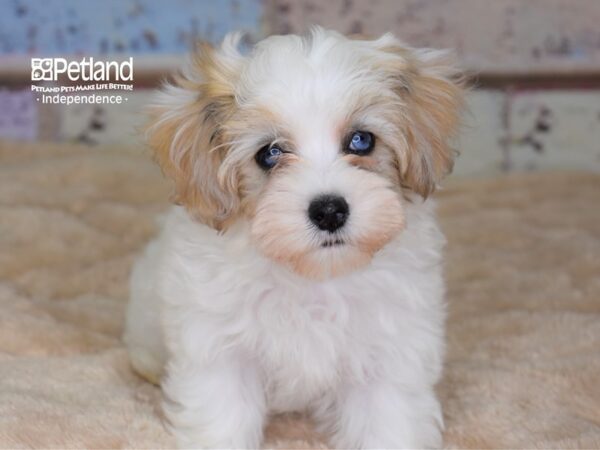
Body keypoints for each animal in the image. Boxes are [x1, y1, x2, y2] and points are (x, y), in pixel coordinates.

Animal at [124, 26, 464, 448]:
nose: (330, 211)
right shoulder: (221, 354)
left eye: (361, 141)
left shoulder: (389, 355)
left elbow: (387, 423)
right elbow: (223, 421)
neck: (313, 278)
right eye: (269, 154)